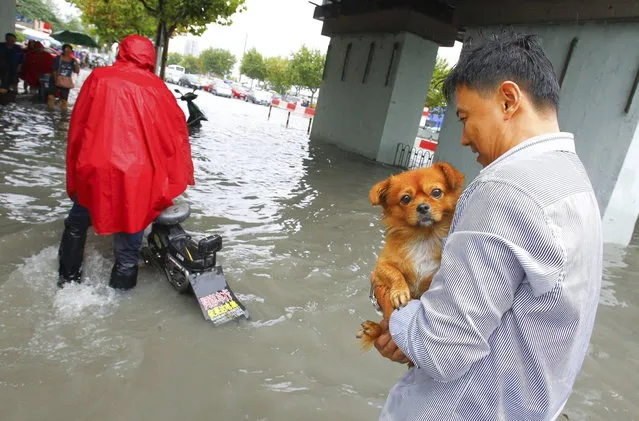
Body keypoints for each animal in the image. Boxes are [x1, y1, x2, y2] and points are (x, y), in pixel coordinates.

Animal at [356, 162, 464, 352]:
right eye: (406, 199)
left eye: (436, 192)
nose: (422, 207)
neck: (423, 237)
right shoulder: (381, 265)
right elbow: (395, 273)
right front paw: (400, 292)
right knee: (384, 327)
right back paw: (372, 328)